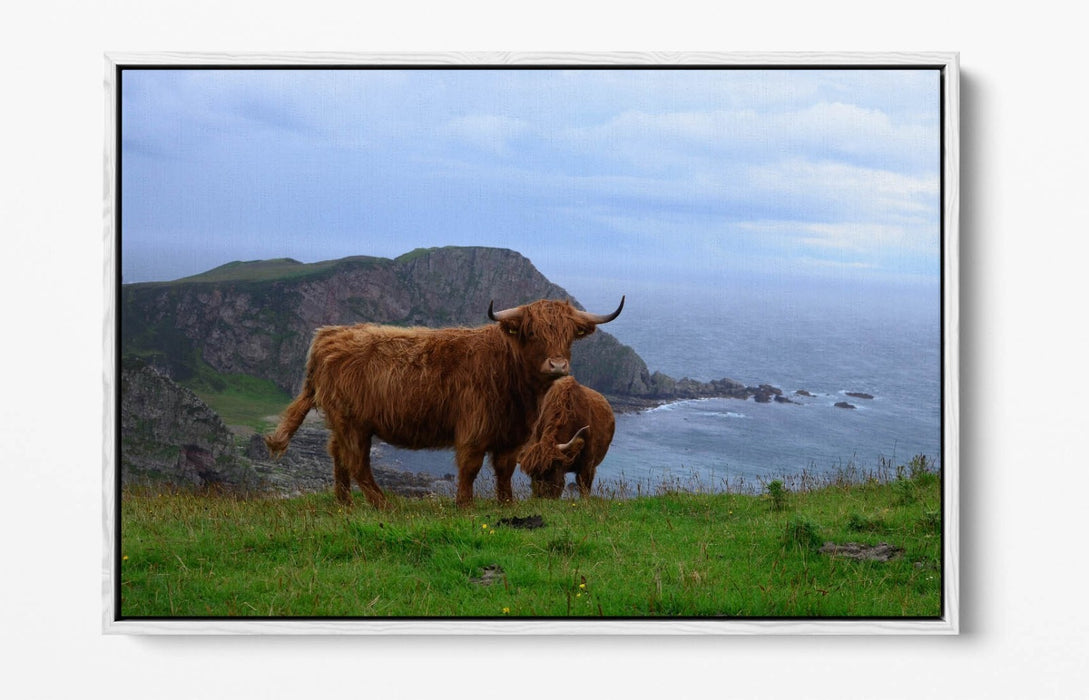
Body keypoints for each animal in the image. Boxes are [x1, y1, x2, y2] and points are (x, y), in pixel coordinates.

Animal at [264, 297, 624, 508]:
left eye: (569, 334)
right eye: (532, 332)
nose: (558, 365)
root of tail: (328, 335)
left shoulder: (512, 436)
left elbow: (504, 471)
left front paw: (506, 505)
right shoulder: (474, 429)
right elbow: (470, 468)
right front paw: (464, 506)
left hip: (342, 422)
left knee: (337, 455)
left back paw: (344, 504)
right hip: (354, 423)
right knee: (356, 462)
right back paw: (384, 504)